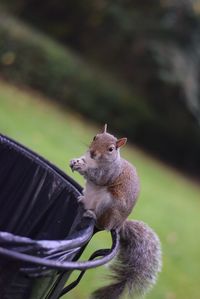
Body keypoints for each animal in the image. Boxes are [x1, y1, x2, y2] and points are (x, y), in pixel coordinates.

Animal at [69, 125, 162, 299]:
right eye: (95, 137)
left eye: (111, 149)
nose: (93, 152)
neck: (96, 161)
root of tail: (118, 224)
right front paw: (76, 161)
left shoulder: (109, 174)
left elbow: (97, 177)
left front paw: (83, 167)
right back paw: (82, 200)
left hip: (108, 205)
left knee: (103, 225)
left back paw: (92, 214)